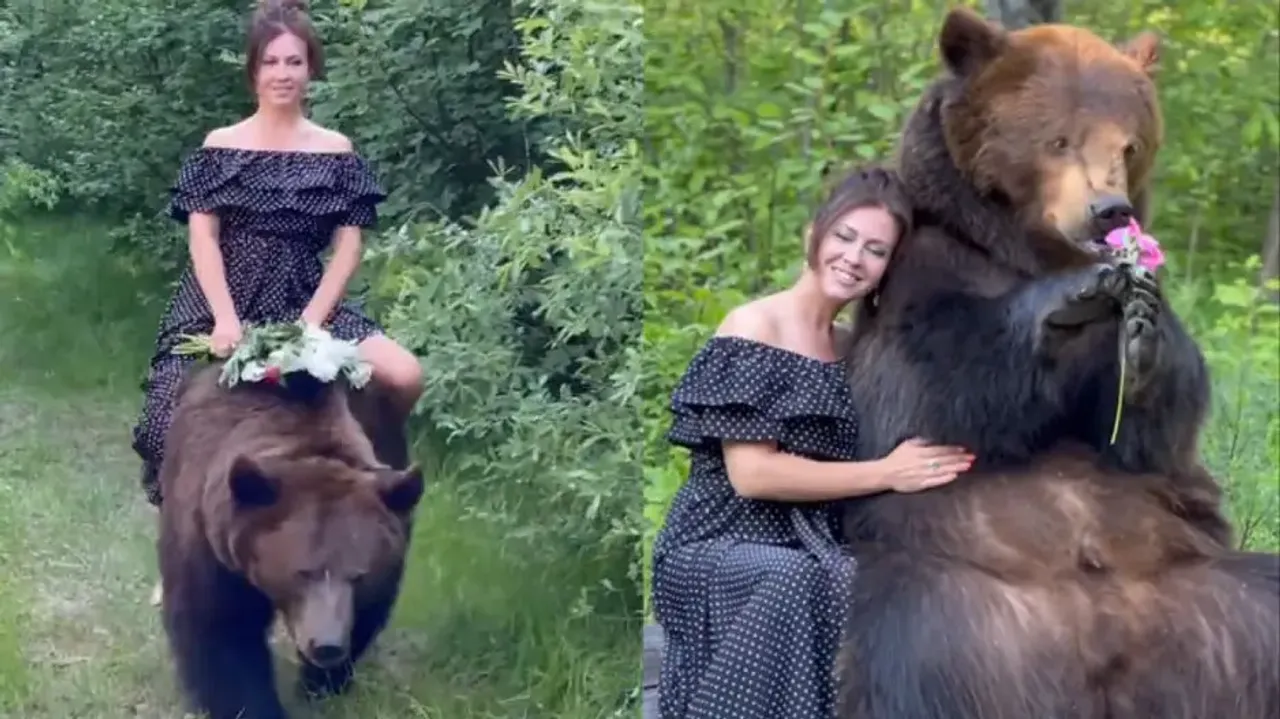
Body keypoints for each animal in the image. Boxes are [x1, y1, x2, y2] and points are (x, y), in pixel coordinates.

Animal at [156, 362, 425, 719]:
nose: (326, 645)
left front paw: (322, 685)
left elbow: (366, 615)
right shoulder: (209, 543)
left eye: (359, 575)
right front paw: (252, 706)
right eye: (302, 572)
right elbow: (221, 630)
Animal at [833, 8, 1280, 719]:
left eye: (1128, 145)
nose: (1108, 211)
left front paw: (1141, 336)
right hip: (948, 604)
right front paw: (1069, 302)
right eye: (1060, 139)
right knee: (901, 653)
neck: (1024, 251)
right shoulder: (922, 269)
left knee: (1264, 601)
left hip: (1217, 599)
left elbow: (1147, 433)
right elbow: (932, 384)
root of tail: (1096, 648)